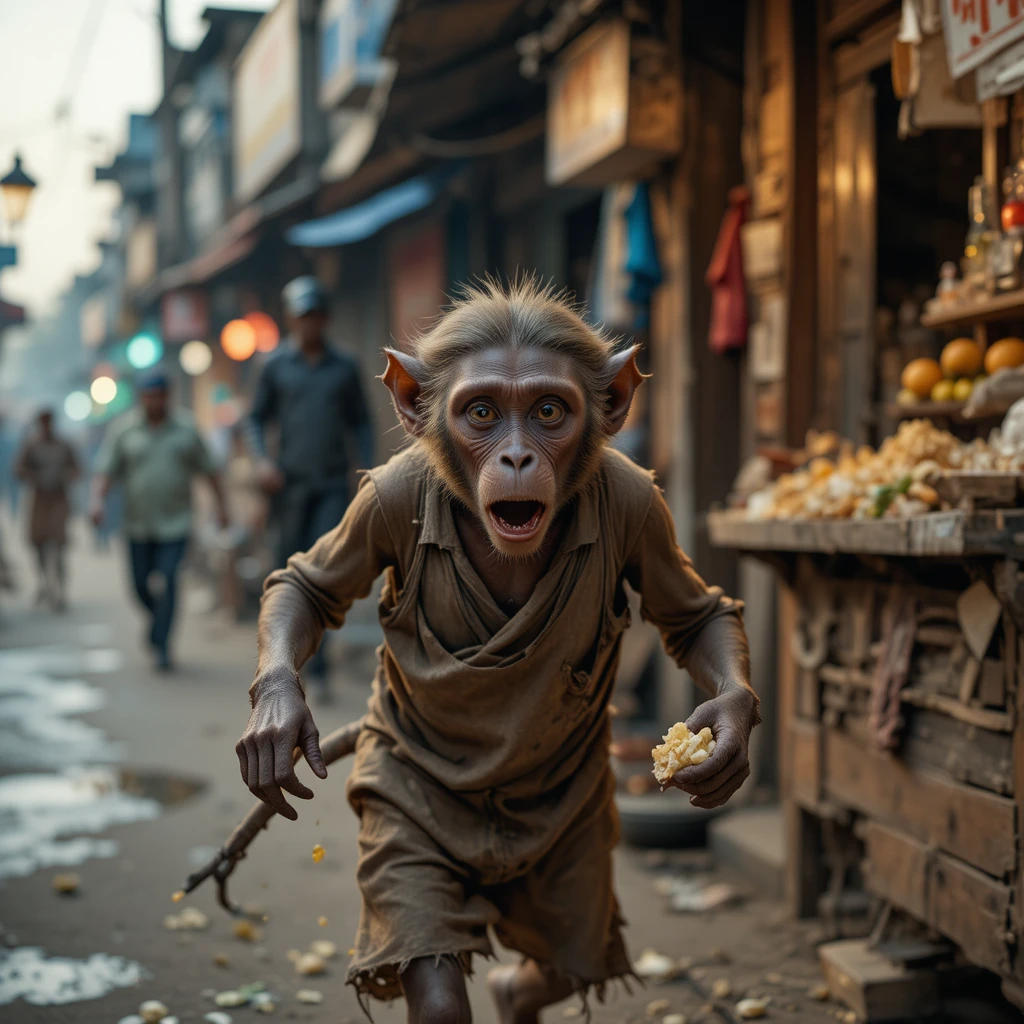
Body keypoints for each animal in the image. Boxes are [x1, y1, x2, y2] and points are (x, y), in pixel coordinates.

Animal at [234, 279, 759, 1024]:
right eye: (481, 412)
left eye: (548, 411)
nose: (515, 459)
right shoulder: (385, 496)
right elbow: (306, 587)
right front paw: (277, 718)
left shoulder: (641, 505)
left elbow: (698, 616)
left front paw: (725, 738)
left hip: (573, 880)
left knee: (567, 955)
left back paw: (517, 993)